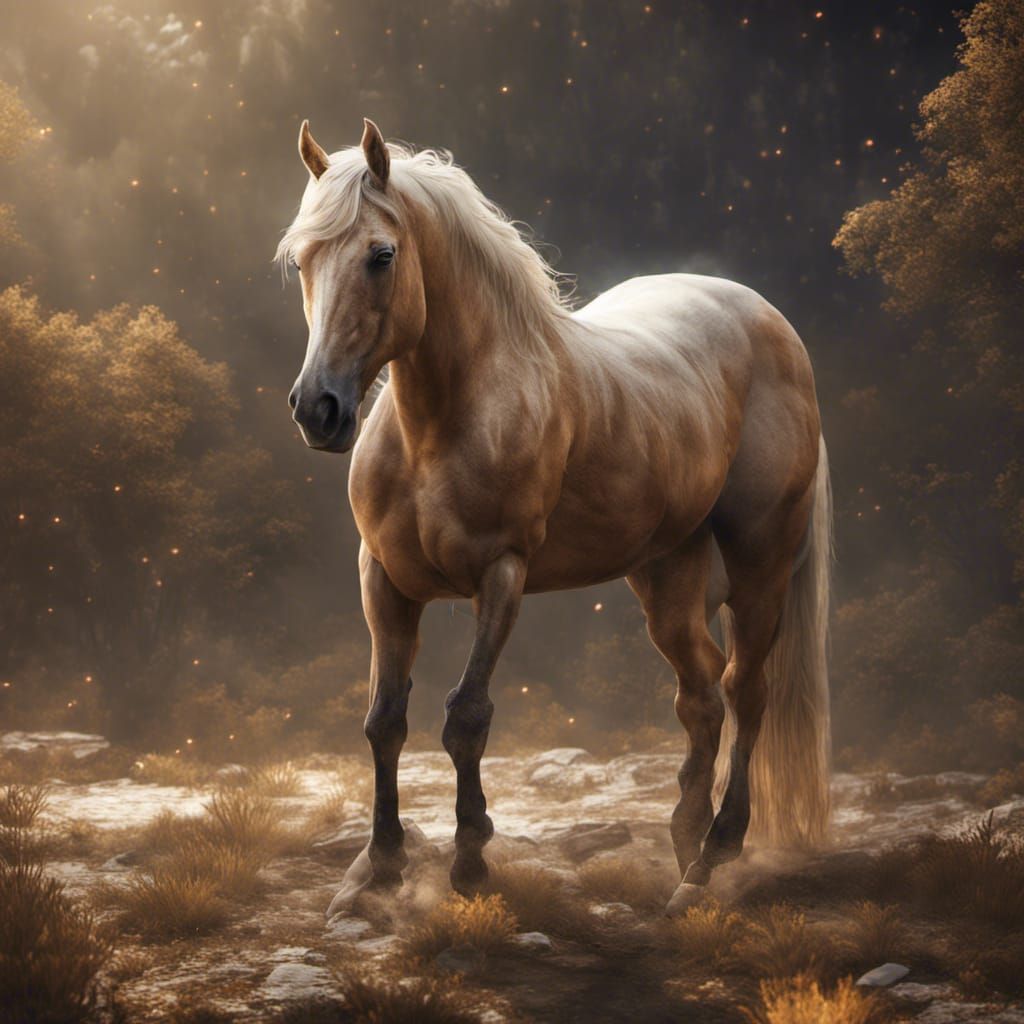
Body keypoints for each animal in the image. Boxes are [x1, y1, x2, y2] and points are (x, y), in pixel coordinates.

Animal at [276, 118, 832, 917]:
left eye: (381, 256)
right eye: (302, 262)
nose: (318, 410)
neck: (441, 425)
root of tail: (770, 322)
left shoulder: (501, 574)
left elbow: (466, 717)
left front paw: (470, 864)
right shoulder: (383, 580)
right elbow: (385, 720)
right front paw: (374, 872)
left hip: (761, 564)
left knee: (744, 691)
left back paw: (709, 863)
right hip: (667, 574)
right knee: (700, 695)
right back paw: (684, 849)